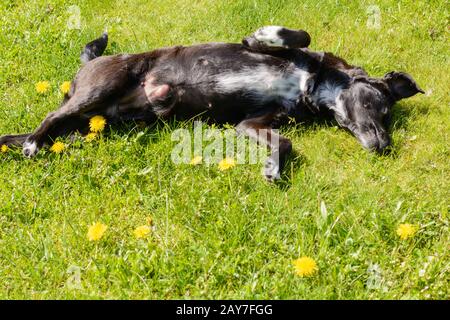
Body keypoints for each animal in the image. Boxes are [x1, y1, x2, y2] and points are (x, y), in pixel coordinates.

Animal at [0, 26, 424, 181]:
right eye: (380, 107)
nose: (384, 146)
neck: (312, 86)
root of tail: (90, 62)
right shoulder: (262, 48)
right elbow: (296, 36)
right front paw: (272, 30)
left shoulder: (252, 124)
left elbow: (284, 142)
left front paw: (273, 167)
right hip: (100, 88)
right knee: (49, 115)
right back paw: (33, 144)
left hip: (86, 127)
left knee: (28, 133)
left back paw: (22, 146)